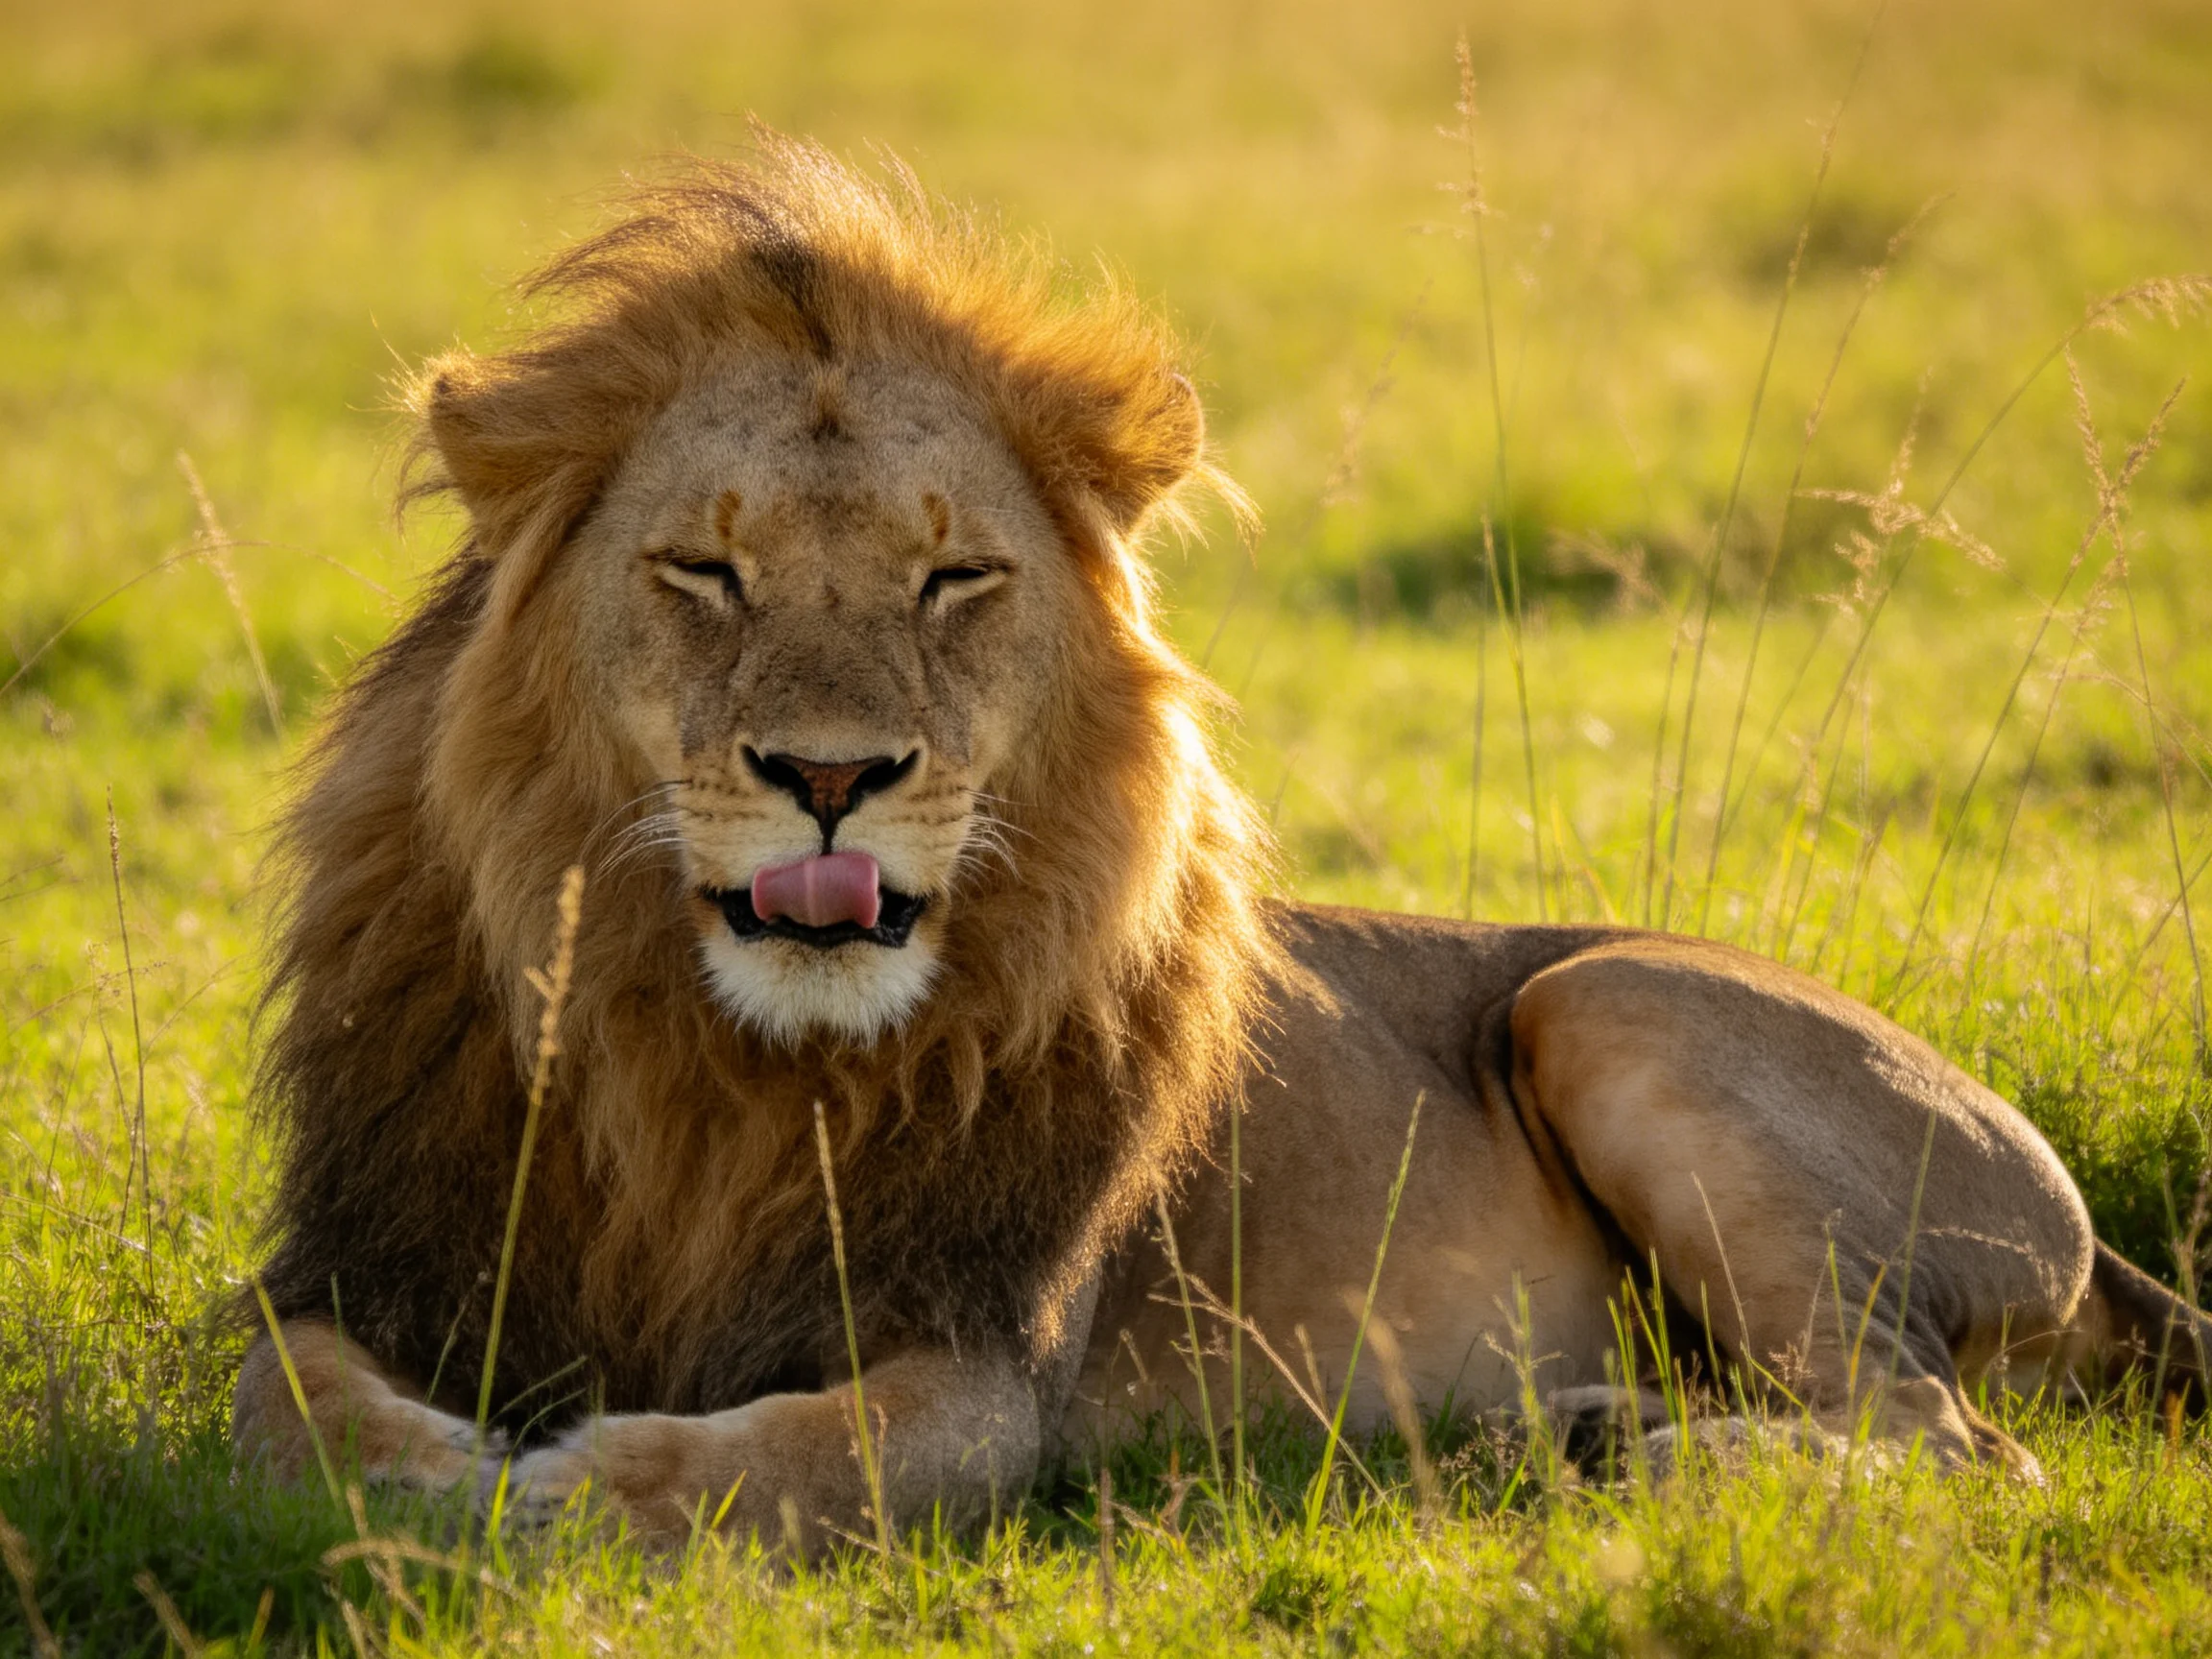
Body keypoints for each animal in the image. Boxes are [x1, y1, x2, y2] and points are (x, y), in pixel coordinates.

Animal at [233, 134, 2209, 1549]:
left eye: (956, 577)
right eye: (703, 570)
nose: (829, 775)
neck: (707, 1059)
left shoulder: (989, 1359)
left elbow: (803, 1454)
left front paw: (572, 1487)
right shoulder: (351, 1259)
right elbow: (284, 1405)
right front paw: (430, 1478)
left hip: (1608, 1001)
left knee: (1958, 1445)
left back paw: (1626, 1456)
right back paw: (1585, 1430)